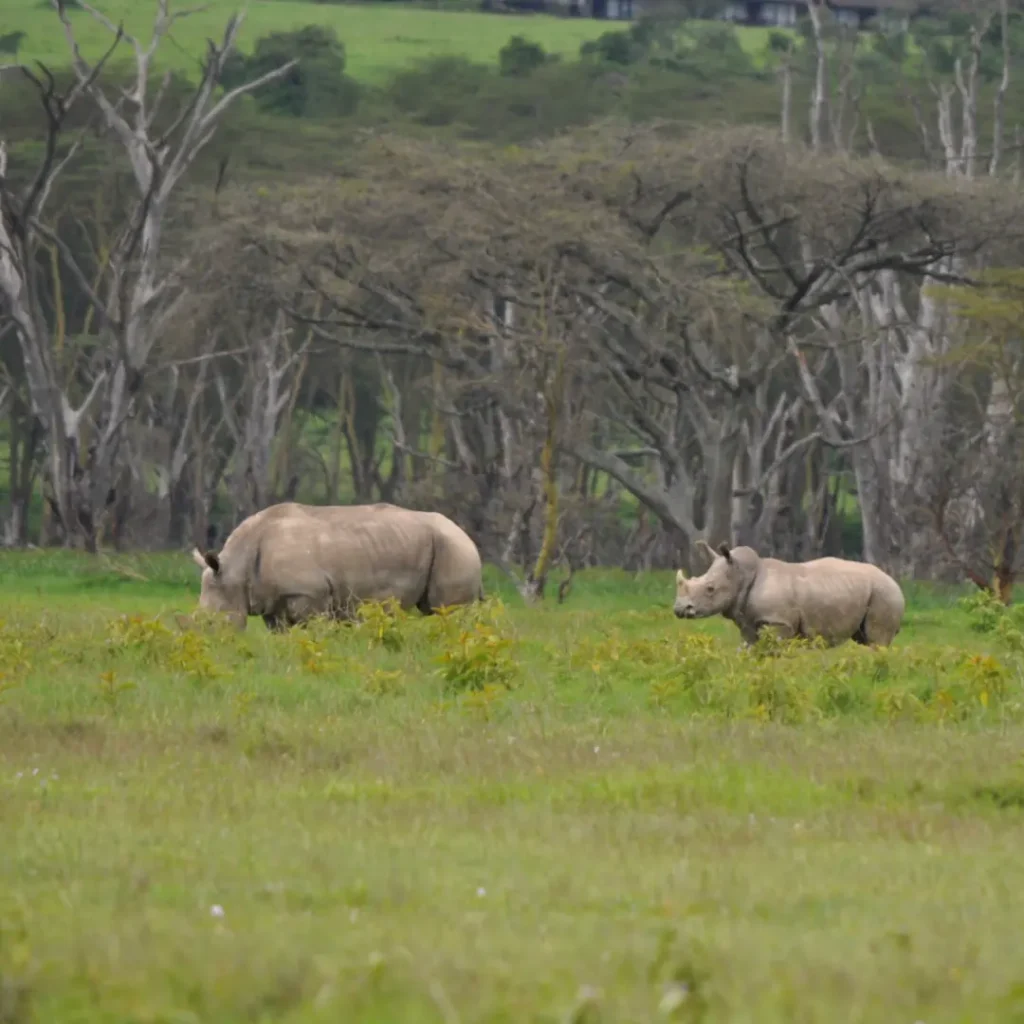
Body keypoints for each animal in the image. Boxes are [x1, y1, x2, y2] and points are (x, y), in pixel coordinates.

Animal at [191, 499, 483, 626]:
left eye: (210, 622)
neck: (235, 569)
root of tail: (469, 538)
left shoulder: (308, 593)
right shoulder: (272, 600)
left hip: (454, 548)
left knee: (446, 611)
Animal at [671, 544, 905, 647]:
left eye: (710, 589)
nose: (679, 609)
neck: (741, 574)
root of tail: (895, 582)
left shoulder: (778, 622)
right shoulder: (748, 620)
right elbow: (747, 650)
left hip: (885, 594)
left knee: (876, 640)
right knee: (864, 639)